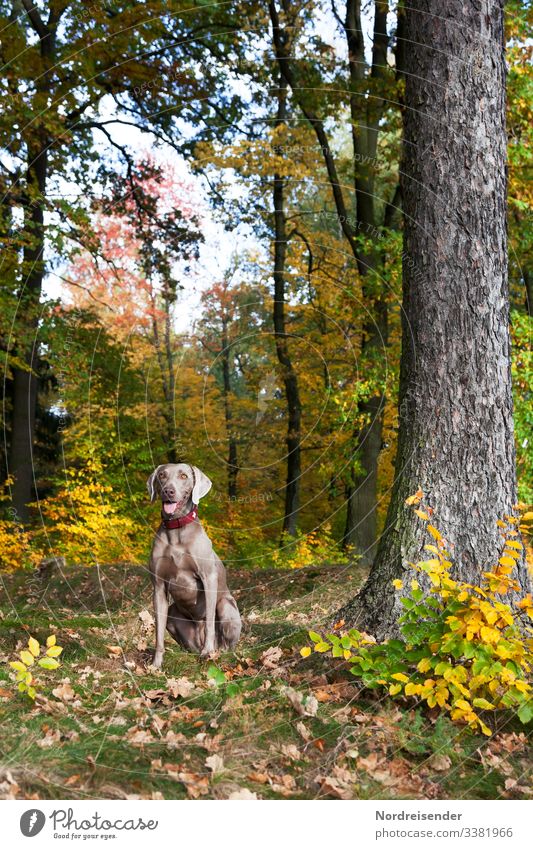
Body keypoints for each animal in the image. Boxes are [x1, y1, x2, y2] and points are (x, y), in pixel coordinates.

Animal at [147, 460, 240, 664]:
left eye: (183, 476)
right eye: (162, 475)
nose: (168, 491)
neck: (176, 529)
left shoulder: (208, 578)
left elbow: (211, 622)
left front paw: (208, 652)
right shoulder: (158, 585)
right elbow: (158, 633)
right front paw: (156, 664)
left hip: (227, 606)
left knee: (226, 642)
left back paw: (216, 652)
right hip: (173, 615)